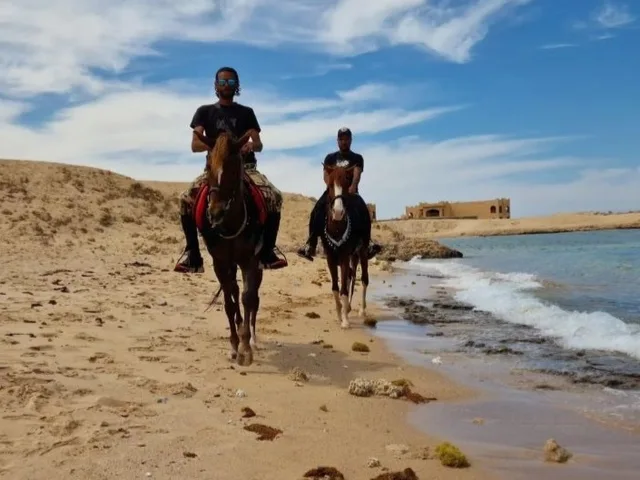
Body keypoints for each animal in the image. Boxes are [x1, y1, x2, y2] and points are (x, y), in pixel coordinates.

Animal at [192, 129, 265, 366]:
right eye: (208, 166)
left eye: (234, 167)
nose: (215, 213)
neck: (231, 223)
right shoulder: (220, 263)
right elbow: (228, 303)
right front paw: (234, 346)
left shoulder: (250, 261)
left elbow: (248, 298)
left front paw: (246, 347)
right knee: (233, 291)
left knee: (253, 298)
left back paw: (252, 339)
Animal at [321, 164, 370, 329]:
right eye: (330, 185)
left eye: (347, 184)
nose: (338, 212)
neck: (337, 228)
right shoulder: (330, 258)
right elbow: (336, 288)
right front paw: (339, 313)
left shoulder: (343, 257)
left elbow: (342, 289)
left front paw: (345, 321)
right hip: (353, 255)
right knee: (351, 275)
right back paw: (347, 308)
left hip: (362, 251)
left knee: (364, 279)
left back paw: (361, 310)